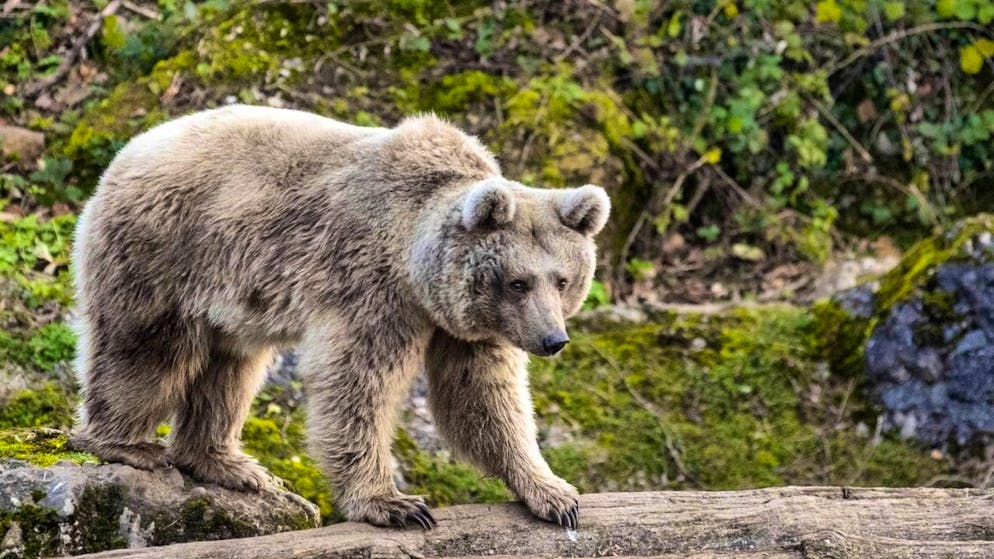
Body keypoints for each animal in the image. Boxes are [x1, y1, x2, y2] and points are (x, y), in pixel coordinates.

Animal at [70, 105, 610, 530]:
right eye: (518, 281)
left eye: (562, 279)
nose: (552, 339)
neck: (415, 265)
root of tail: (130, 148)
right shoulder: (370, 286)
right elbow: (358, 383)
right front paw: (395, 504)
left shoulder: (467, 325)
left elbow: (483, 398)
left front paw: (554, 494)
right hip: (166, 252)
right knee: (147, 350)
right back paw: (128, 444)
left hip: (229, 301)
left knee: (230, 370)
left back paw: (230, 464)